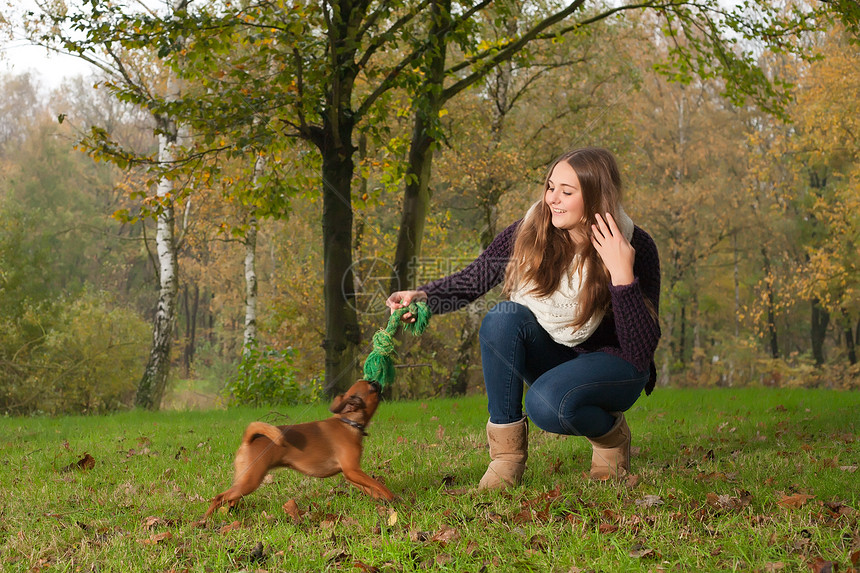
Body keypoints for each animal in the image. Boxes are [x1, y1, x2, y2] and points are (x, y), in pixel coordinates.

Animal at [207, 378, 394, 516]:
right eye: (372, 387)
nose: (377, 382)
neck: (348, 421)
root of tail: (249, 440)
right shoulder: (352, 470)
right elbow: (379, 485)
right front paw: (393, 498)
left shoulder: (352, 474)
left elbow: (372, 487)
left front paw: (382, 500)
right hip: (251, 480)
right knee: (219, 497)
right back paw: (205, 521)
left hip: (244, 479)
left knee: (230, 498)